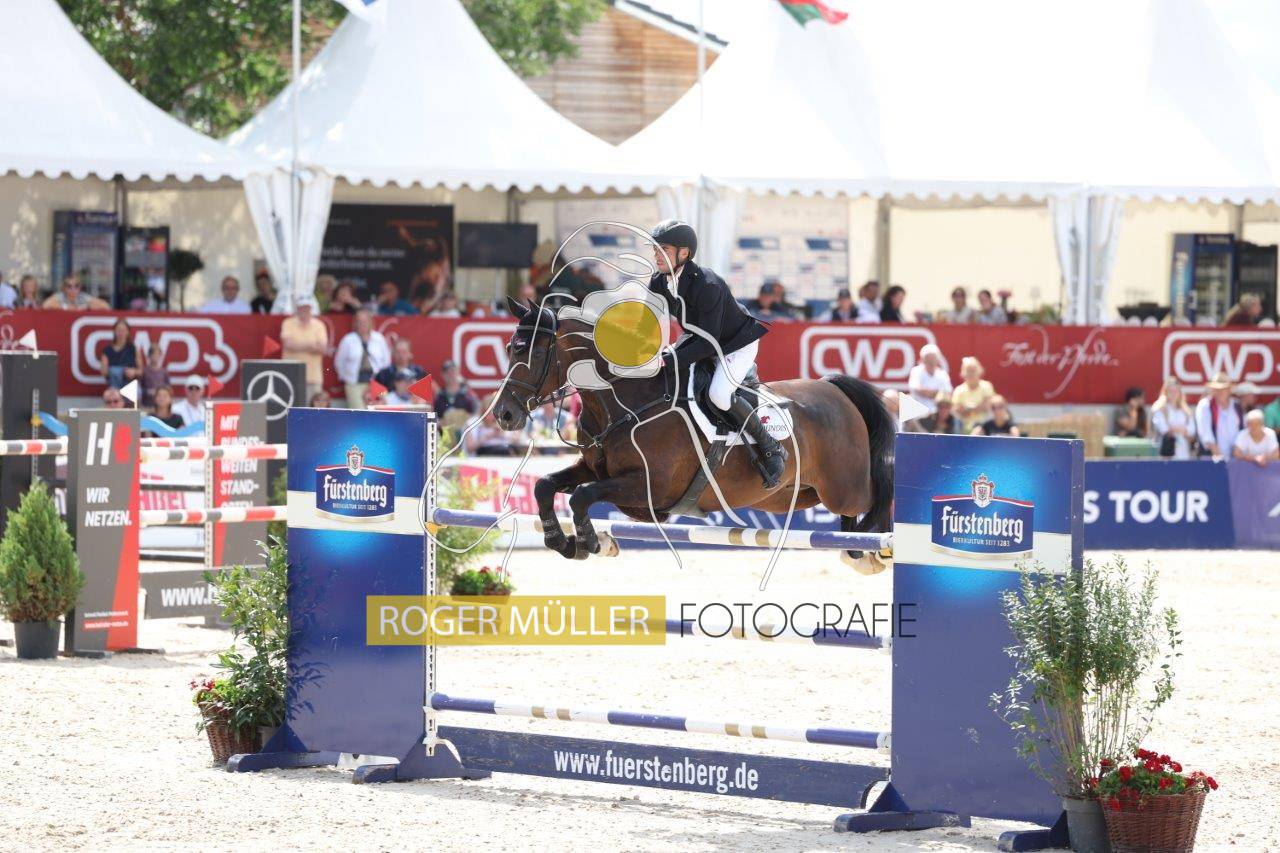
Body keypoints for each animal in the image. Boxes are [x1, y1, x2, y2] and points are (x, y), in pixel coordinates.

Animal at [491, 298, 896, 573]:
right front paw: (562, 540)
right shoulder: (594, 469)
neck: (627, 402)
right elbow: (546, 485)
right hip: (796, 495)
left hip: (844, 488)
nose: (504, 414)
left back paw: (875, 552)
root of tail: (835, 389)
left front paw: (590, 541)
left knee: (876, 499)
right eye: (511, 348)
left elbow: (582, 497)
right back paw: (856, 553)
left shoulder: (650, 489)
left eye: (535, 351)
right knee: (847, 519)